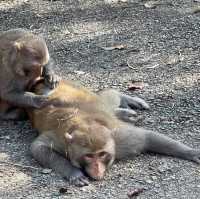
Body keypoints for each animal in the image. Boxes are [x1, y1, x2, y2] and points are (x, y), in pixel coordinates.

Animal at [27, 79, 200, 187]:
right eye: (89, 156)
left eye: (102, 154)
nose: (97, 168)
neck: (85, 123)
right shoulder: (62, 142)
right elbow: (37, 147)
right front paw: (73, 173)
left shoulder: (121, 140)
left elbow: (147, 138)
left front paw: (191, 153)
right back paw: (123, 112)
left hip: (86, 94)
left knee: (107, 97)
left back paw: (125, 100)